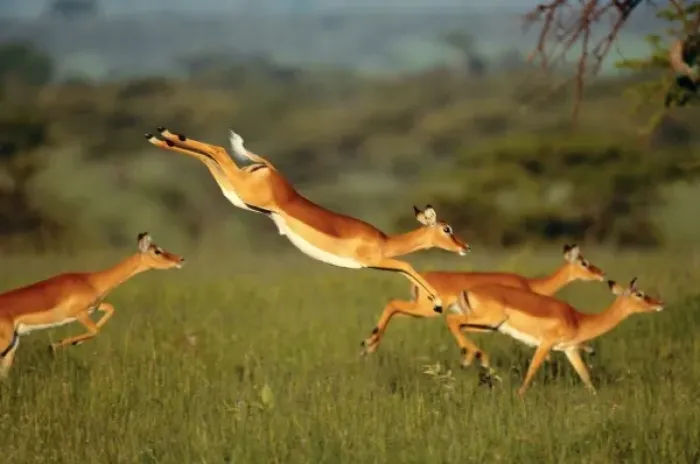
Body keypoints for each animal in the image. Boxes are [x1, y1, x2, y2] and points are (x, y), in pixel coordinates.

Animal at [0, 232, 184, 379]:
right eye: (157, 251)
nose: (181, 259)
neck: (91, 281)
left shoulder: (94, 308)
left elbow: (110, 309)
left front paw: (73, 343)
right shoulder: (78, 313)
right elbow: (95, 330)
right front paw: (57, 345)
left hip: (13, 344)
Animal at [145, 128, 470, 312]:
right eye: (447, 228)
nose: (465, 247)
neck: (384, 241)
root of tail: (271, 170)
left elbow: (407, 271)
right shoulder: (376, 261)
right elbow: (409, 266)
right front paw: (438, 303)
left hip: (235, 194)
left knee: (209, 156)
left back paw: (160, 137)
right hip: (242, 191)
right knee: (219, 149)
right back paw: (161, 134)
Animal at [361, 244, 605, 363]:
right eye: (584, 262)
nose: (602, 274)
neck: (529, 284)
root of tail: (421, 277)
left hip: (422, 311)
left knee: (393, 307)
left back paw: (370, 345)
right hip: (426, 310)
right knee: (393, 304)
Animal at [447, 277, 664, 397]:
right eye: (640, 294)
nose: (659, 303)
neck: (578, 320)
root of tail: (467, 291)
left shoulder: (570, 350)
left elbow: (585, 376)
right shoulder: (546, 344)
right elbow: (532, 369)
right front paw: (519, 396)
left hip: (488, 326)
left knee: (459, 325)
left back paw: (473, 360)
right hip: (488, 321)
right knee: (452, 320)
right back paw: (469, 360)